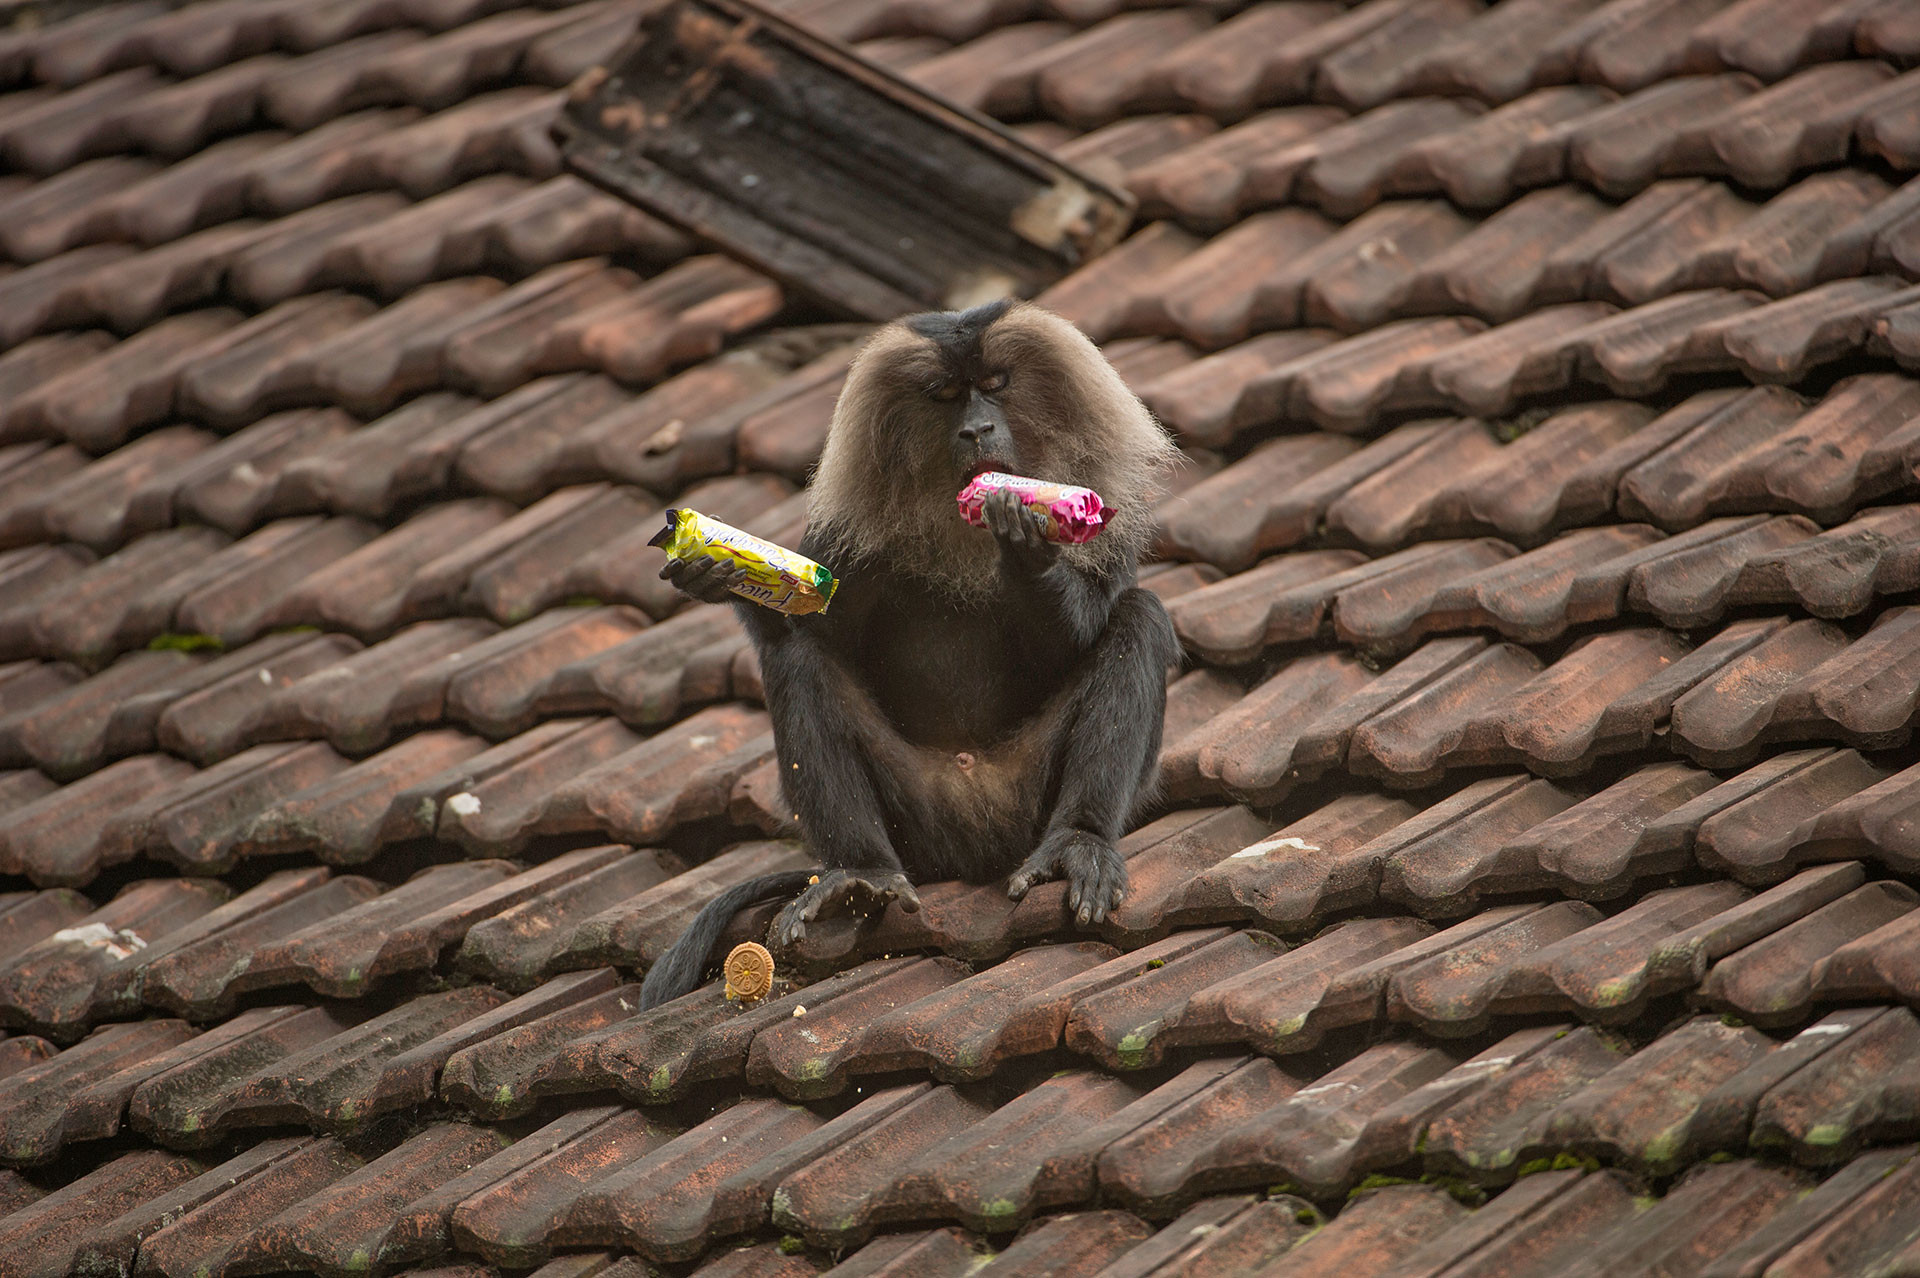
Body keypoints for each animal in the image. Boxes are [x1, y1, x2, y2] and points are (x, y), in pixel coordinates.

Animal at [638, 299, 1182, 1009]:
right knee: (798, 665)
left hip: (1026, 801)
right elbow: (818, 630)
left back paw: (1078, 843)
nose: (978, 430)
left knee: (1139, 619)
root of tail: (971, 856)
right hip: (918, 820)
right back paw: (859, 873)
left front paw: (1027, 541)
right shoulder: (848, 540)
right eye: (946, 396)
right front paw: (720, 568)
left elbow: (1085, 628)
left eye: (996, 386)